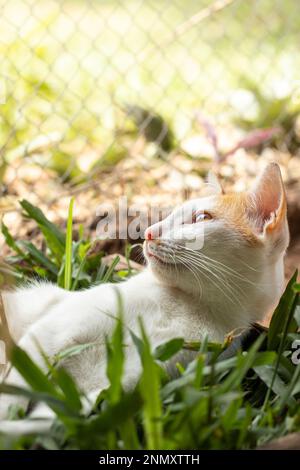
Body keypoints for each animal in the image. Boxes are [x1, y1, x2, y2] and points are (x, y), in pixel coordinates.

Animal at [0, 161, 290, 422]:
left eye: (201, 218)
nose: (149, 232)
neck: (187, 306)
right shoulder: (52, 331)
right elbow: (17, 386)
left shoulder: (113, 384)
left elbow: (49, 417)